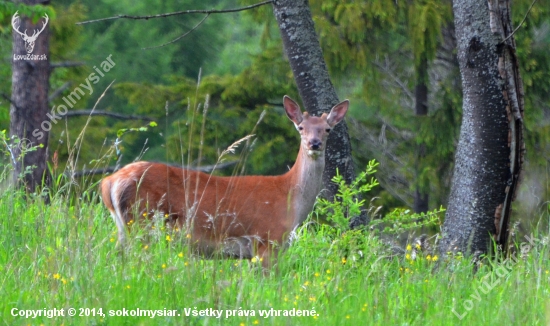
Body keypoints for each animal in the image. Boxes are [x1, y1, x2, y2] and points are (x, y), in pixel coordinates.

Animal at [100, 95, 350, 266]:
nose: (314, 143)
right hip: (142, 220)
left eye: (327, 129)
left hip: (125, 226)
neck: (290, 197)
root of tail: (109, 182)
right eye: (301, 128)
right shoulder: (267, 240)